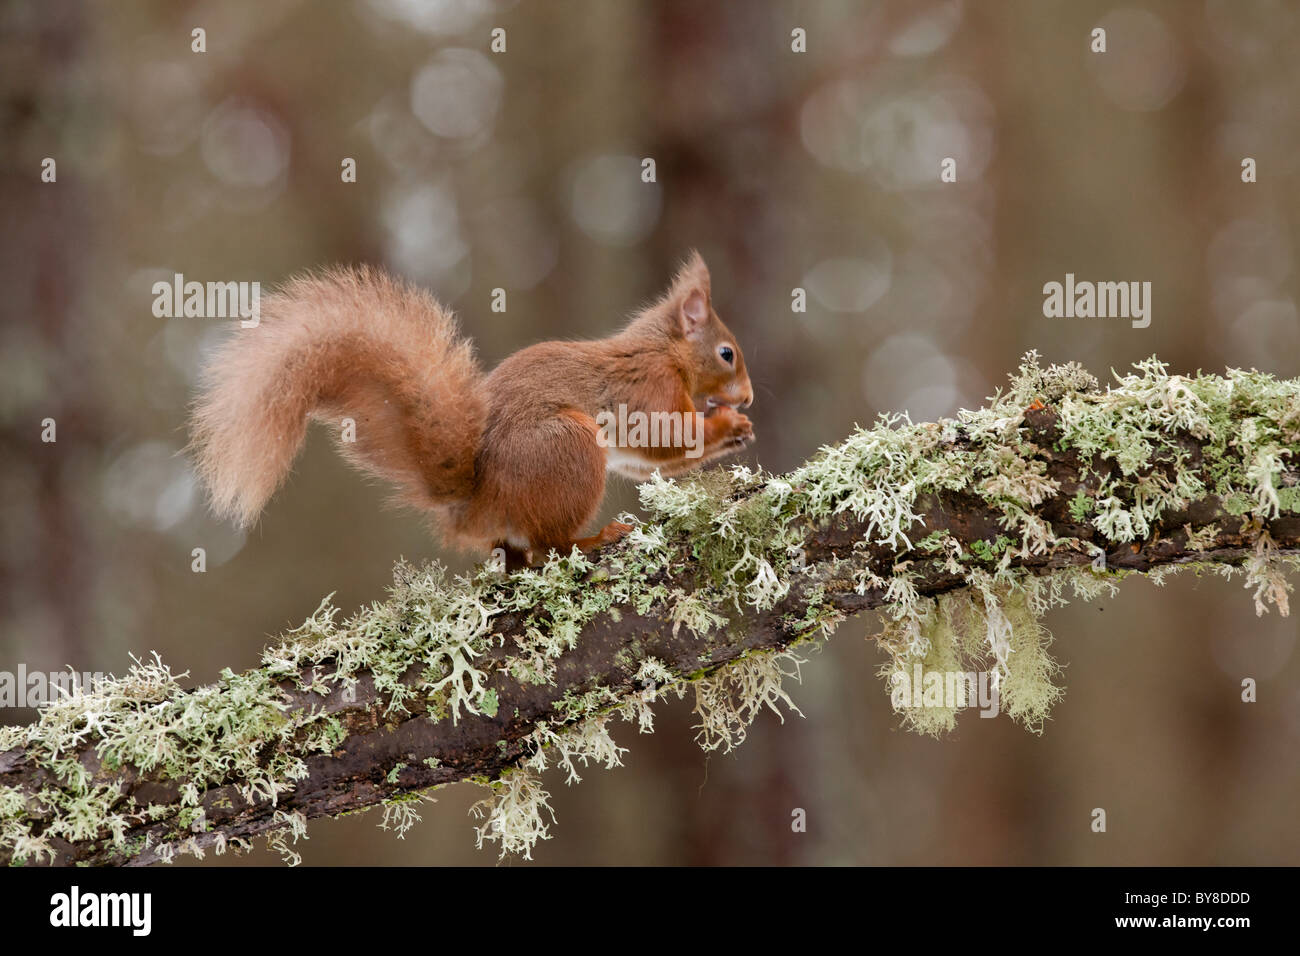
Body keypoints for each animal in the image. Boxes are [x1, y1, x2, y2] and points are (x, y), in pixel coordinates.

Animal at [193, 252, 759, 567]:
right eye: (727, 353)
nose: (750, 398)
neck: (666, 350)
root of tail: (479, 502)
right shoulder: (649, 389)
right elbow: (668, 438)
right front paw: (728, 424)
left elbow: (649, 460)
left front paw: (739, 428)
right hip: (568, 446)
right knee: (551, 547)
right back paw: (595, 538)